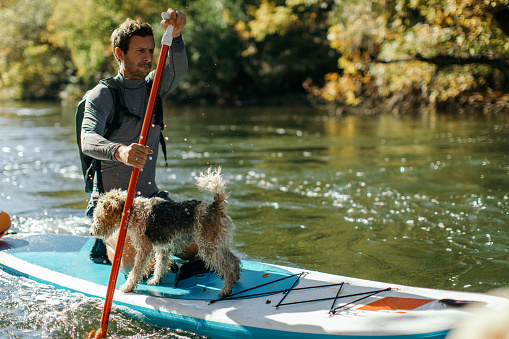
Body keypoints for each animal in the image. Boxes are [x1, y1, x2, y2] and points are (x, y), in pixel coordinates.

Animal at [91, 167, 242, 298]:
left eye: (99, 215)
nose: (92, 232)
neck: (132, 210)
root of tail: (216, 205)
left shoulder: (144, 248)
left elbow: (136, 269)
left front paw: (128, 287)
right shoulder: (162, 248)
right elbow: (159, 266)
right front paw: (155, 281)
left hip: (208, 248)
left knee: (227, 266)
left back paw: (225, 290)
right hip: (219, 244)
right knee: (235, 260)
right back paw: (235, 281)